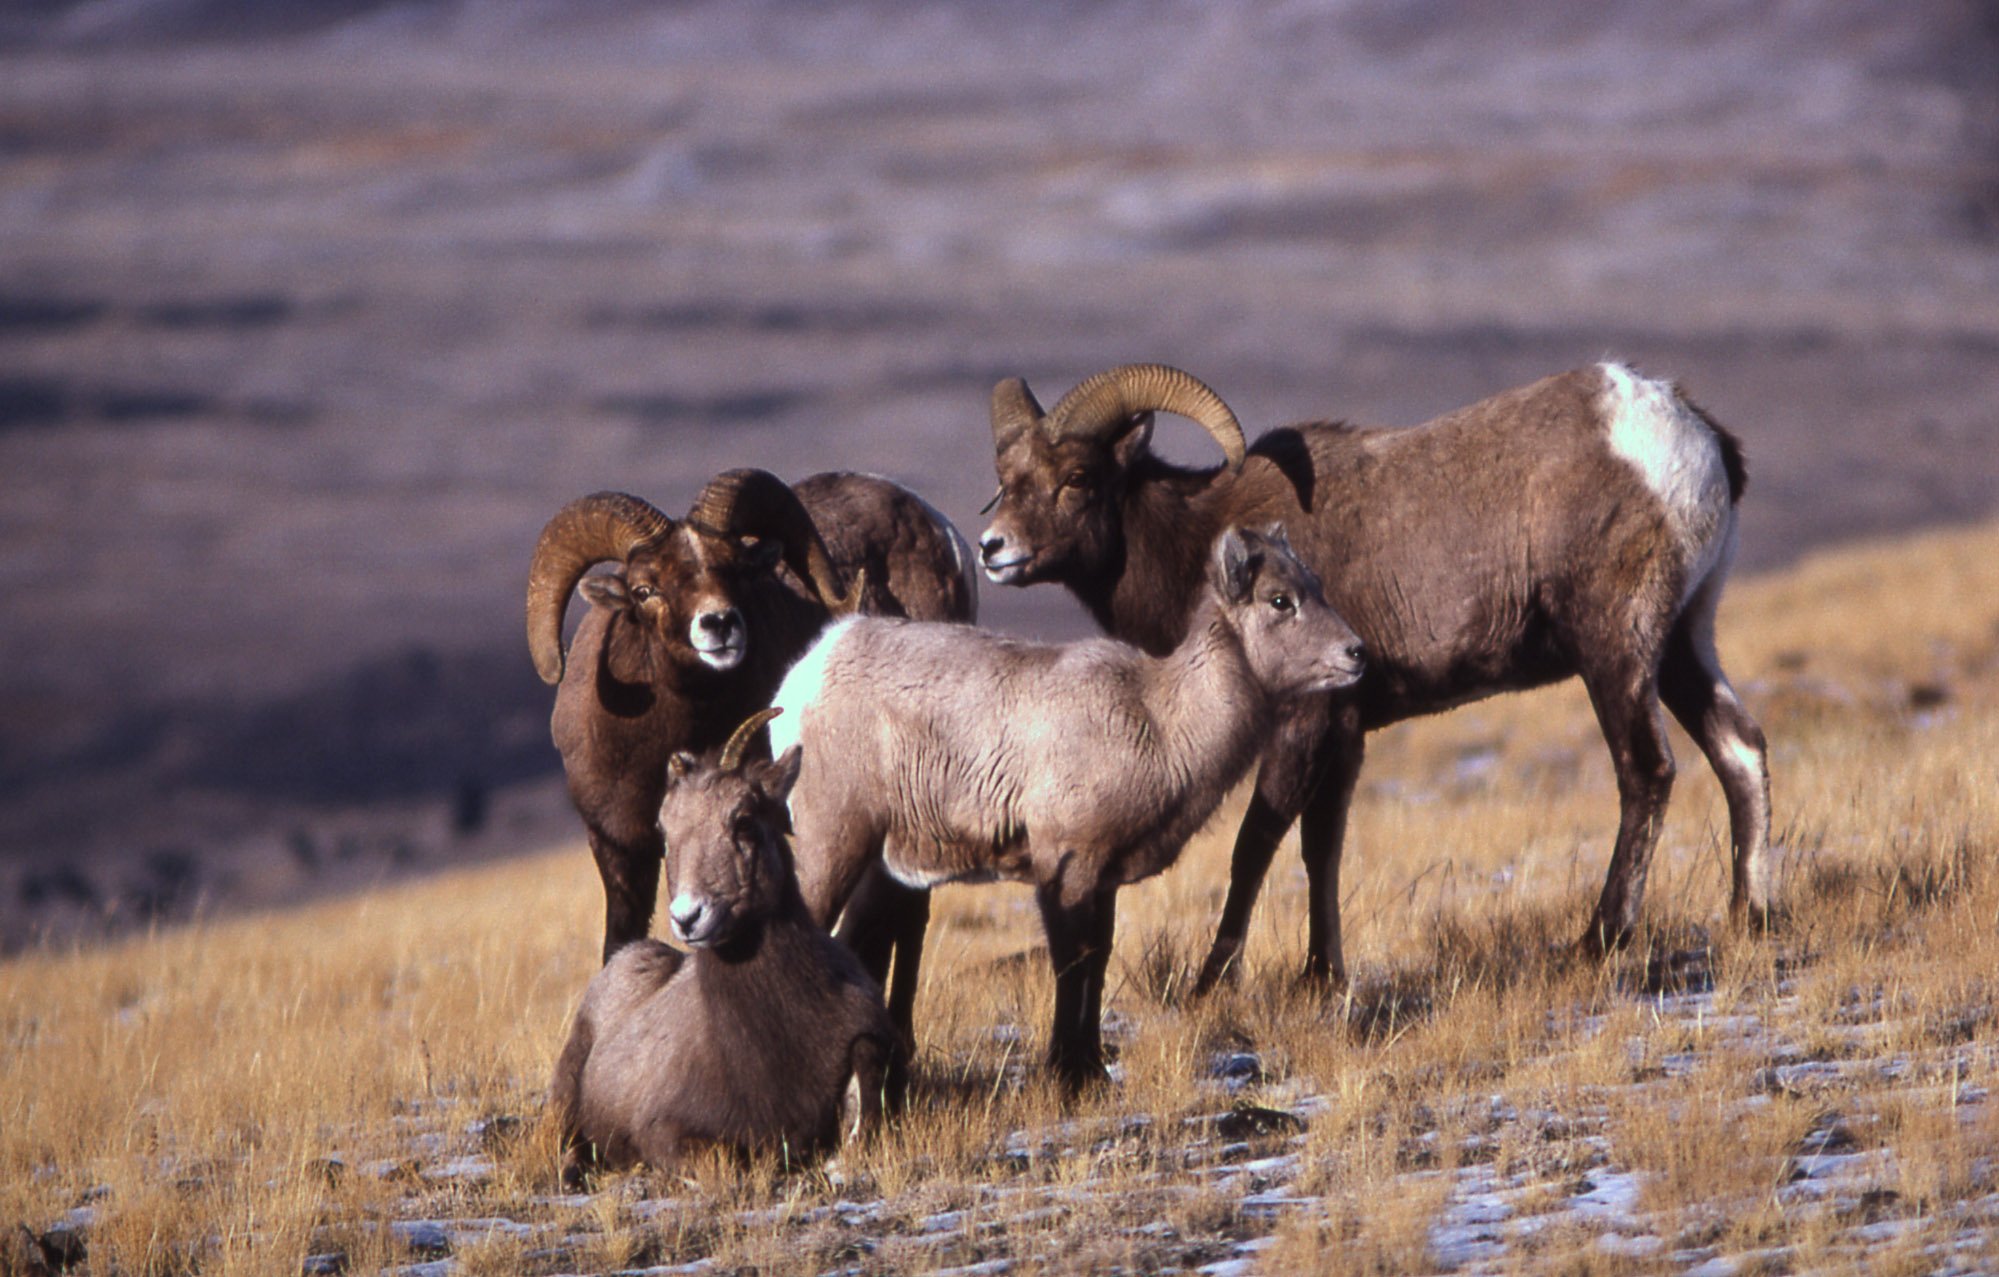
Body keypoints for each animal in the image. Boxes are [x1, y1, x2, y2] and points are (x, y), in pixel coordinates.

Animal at [771, 523, 1367, 1087]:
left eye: (1314, 586)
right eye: (1280, 600)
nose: (1358, 654)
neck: (1162, 723)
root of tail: (810, 673)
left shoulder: (1103, 880)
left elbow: (1097, 962)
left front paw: (1092, 1069)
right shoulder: (1067, 865)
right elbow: (1072, 963)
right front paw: (1068, 1074)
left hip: (878, 867)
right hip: (832, 844)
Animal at [975, 359, 1775, 991]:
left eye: (1077, 477)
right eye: (1007, 480)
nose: (993, 548)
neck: (1199, 545)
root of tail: (1690, 434)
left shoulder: (1302, 725)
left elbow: (1255, 844)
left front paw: (1212, 983)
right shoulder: (1346, 733)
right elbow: (1320, 848)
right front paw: (1320, 976)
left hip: (1614, 650)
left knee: (1646, 772)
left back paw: (1598, 940)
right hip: (1683, 644)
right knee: (1739, 748)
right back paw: (1752, 917)